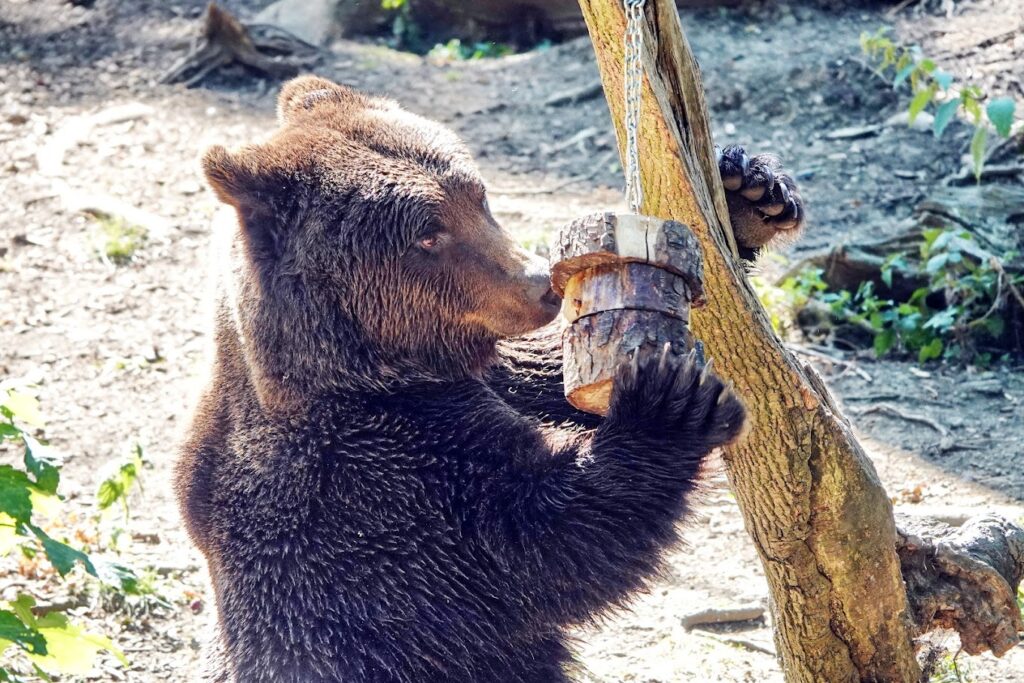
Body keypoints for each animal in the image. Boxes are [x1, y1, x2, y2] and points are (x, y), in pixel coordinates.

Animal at [175, 75, 804, 683]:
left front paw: (749, 191)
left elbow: (550, 372)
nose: (539, 284)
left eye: (478, 196)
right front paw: (668, 403)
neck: (369, 370)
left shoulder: (486, 377)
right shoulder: (370, 487)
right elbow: (536, 543)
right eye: (427, 234)